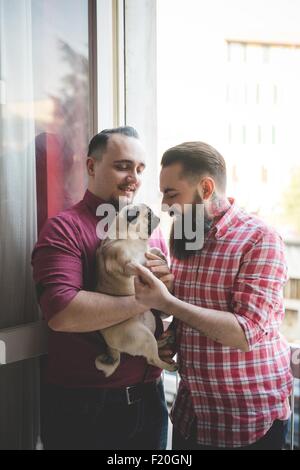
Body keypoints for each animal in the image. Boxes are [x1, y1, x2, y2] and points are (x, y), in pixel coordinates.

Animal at [94, 203, 178, 378]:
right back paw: (168, 365)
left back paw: (164, 341)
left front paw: (161, 257)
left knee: (154, 348)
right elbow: (138, 266)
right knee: (152, 359)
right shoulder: (126, 262)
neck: (133, 239)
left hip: (149, 324)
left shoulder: (146, 252)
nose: (157, 216)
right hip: (142, 335)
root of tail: (112, 347)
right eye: (149, 215)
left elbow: (152, 251)